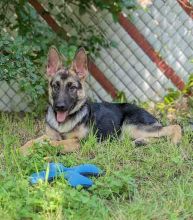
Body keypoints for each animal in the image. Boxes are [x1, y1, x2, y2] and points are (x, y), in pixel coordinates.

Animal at [20, 46, 182, 155]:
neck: (64, 124)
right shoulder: (48, 135)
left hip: (131, 127)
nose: (60, 107)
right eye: (55, 86)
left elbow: (55, 143)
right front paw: (20, 151)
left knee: (174, 127)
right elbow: (32, 141)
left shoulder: (78, 142)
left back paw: (174, 143)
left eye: (72, 87)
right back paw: (142, 142)